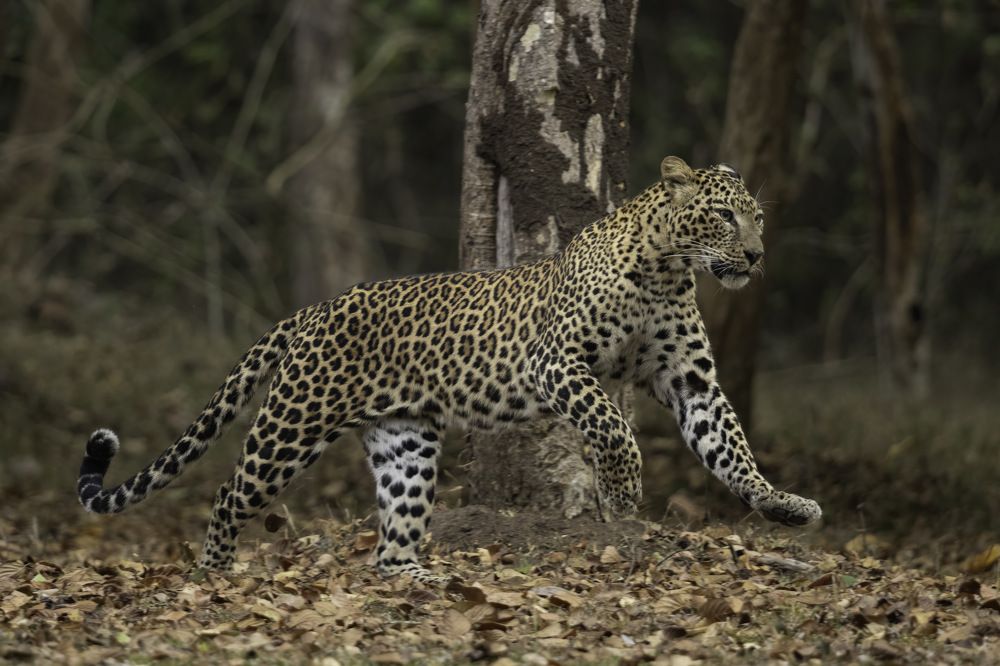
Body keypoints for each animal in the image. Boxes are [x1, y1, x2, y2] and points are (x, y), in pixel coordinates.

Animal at [77, 156, 821, 584]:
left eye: (757, 218)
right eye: (722, 215)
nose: (756, 257)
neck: (668, 270)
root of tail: (315, 308)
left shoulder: (691, 381)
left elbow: (732, 449)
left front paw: (782, 505)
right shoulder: (556, 361)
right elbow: (612, 424)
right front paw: (621, 492)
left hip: (404, 441)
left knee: (392, 536)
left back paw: (419, 578)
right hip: (289, 427)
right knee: (228, 493)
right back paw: (212, 575)